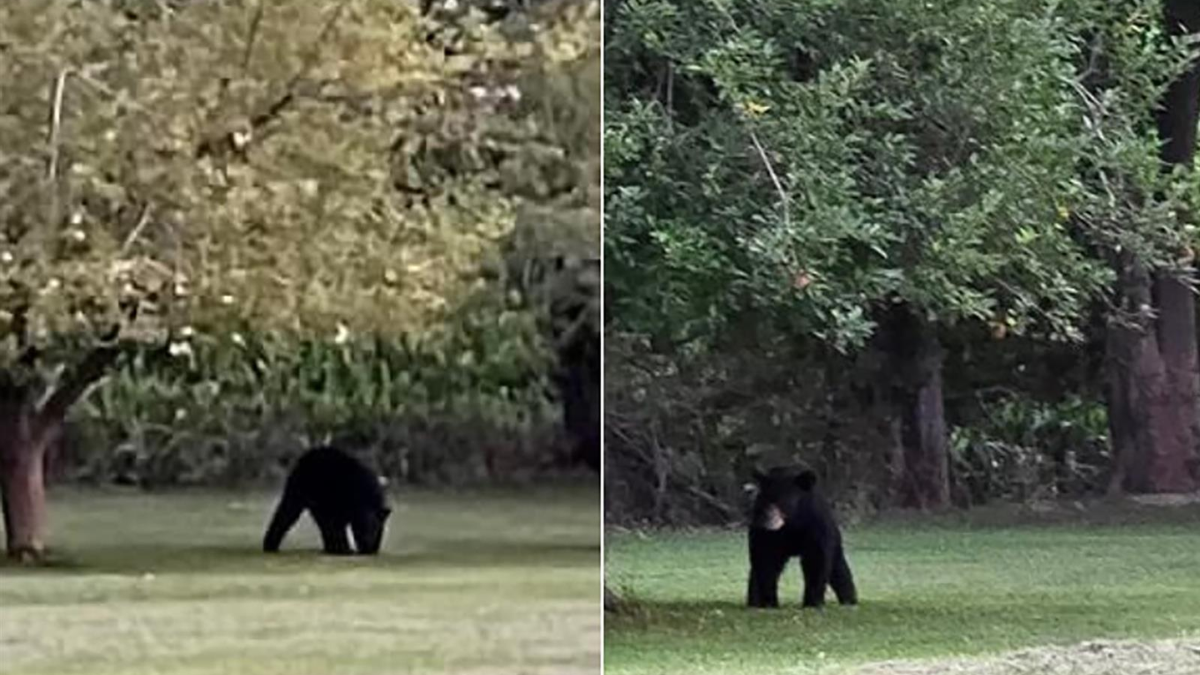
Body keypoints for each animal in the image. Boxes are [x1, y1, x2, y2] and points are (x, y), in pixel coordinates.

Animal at [744, 468, 859, 605]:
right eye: (763, 501)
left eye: (780, 502)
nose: (766, 520)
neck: (792, 522)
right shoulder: (765, 534)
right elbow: (766, 558)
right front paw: (769, 601)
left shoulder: (815, 524)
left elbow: (816, 558)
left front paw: (812, 601)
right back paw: (753, 601)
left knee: (839, 568)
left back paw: (849, 600)